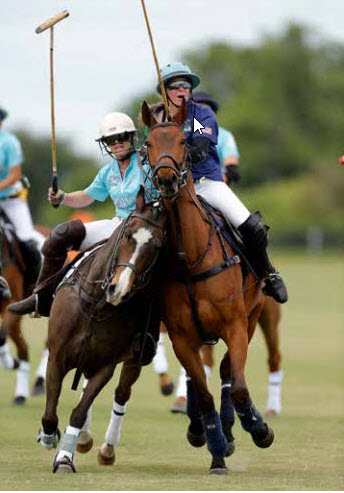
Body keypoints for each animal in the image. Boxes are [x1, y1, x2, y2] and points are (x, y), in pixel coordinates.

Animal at [37, 189, 167, 472]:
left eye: (156, 247)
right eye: (128, 234)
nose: (119, 290)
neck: (95, 304)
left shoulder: (105, 364)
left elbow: (79, 411)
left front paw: (65, 458)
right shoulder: (57, 356)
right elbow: (51, 410)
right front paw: (49, 437)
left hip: (134, 356)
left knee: (121, 393)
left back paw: (105, 448)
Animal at [137, 100, 274, 472]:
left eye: (184, 142)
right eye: (148, 144)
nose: (166, 179)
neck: (191, 257)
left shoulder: (235, 325)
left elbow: (237, 386)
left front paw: (259, 429)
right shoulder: (182, 337)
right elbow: (203, 392)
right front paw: (215, 451)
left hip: (253, 315)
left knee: (228, 372)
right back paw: (205, 430)